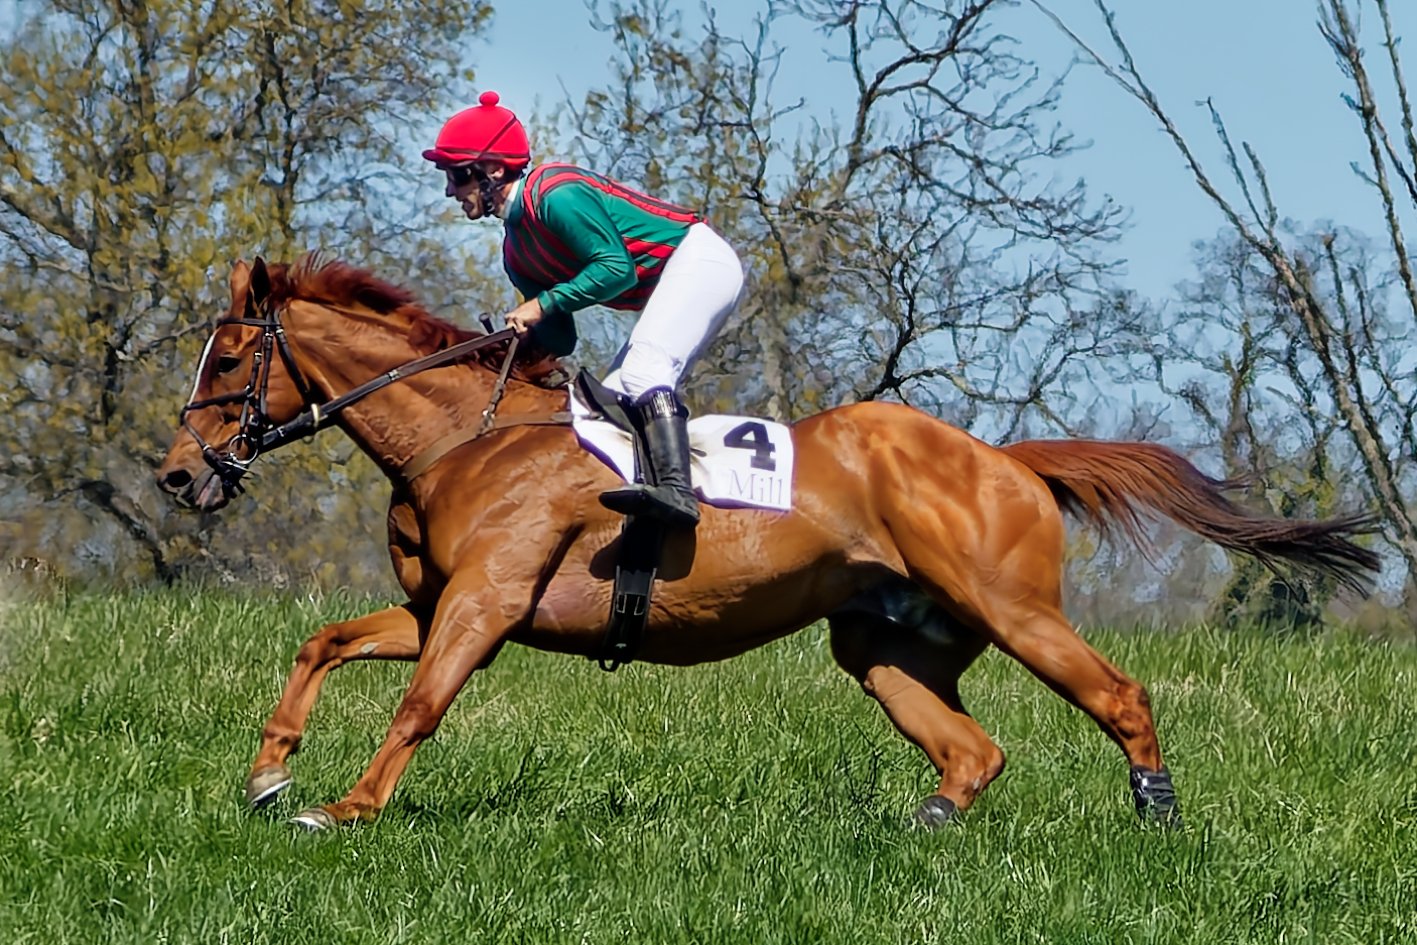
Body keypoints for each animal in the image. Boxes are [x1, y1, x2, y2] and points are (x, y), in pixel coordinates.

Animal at [155, 255, 1380, 831]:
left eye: (230, 360)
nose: (176, 473)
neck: (466, 435)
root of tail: (1007, 458)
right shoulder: (432, 607)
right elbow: (321, 643)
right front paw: (268, 773)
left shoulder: (484, 604)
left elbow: (419, 705)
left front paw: (342, 810)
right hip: (884, 644)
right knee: (969, 750)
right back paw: (924, 826)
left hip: (1014, 607)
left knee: (1117, 695)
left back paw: (1156, 813)